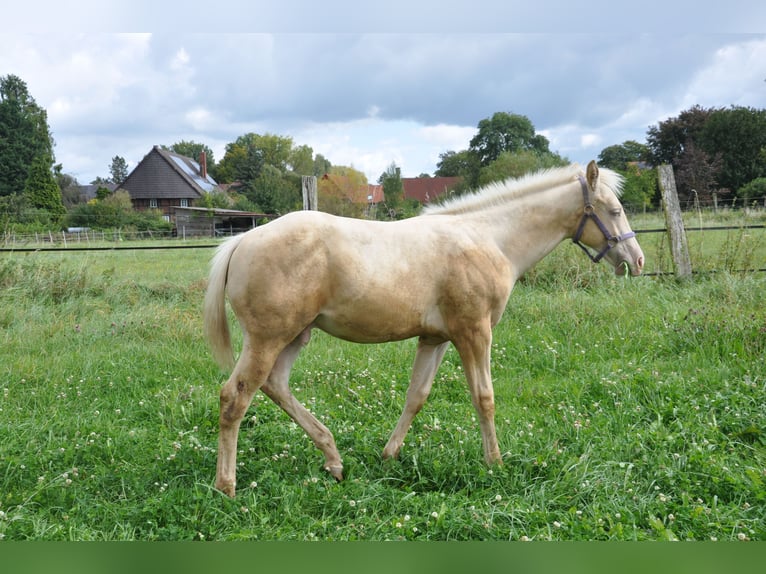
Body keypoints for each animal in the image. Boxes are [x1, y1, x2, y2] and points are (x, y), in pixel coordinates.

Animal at [202, 160, 640, 498]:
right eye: (615, 210)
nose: (636, 261)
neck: (489, 239)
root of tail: (242, 240)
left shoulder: (436, 339)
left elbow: (417, 395)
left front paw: (389, 456)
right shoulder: (475, 333)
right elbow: (484, 398)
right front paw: (495, 463)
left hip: (295, 336)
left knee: (275, 385)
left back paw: (334, 460)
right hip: (268, 339)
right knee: (235, 397)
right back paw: (227, 487)